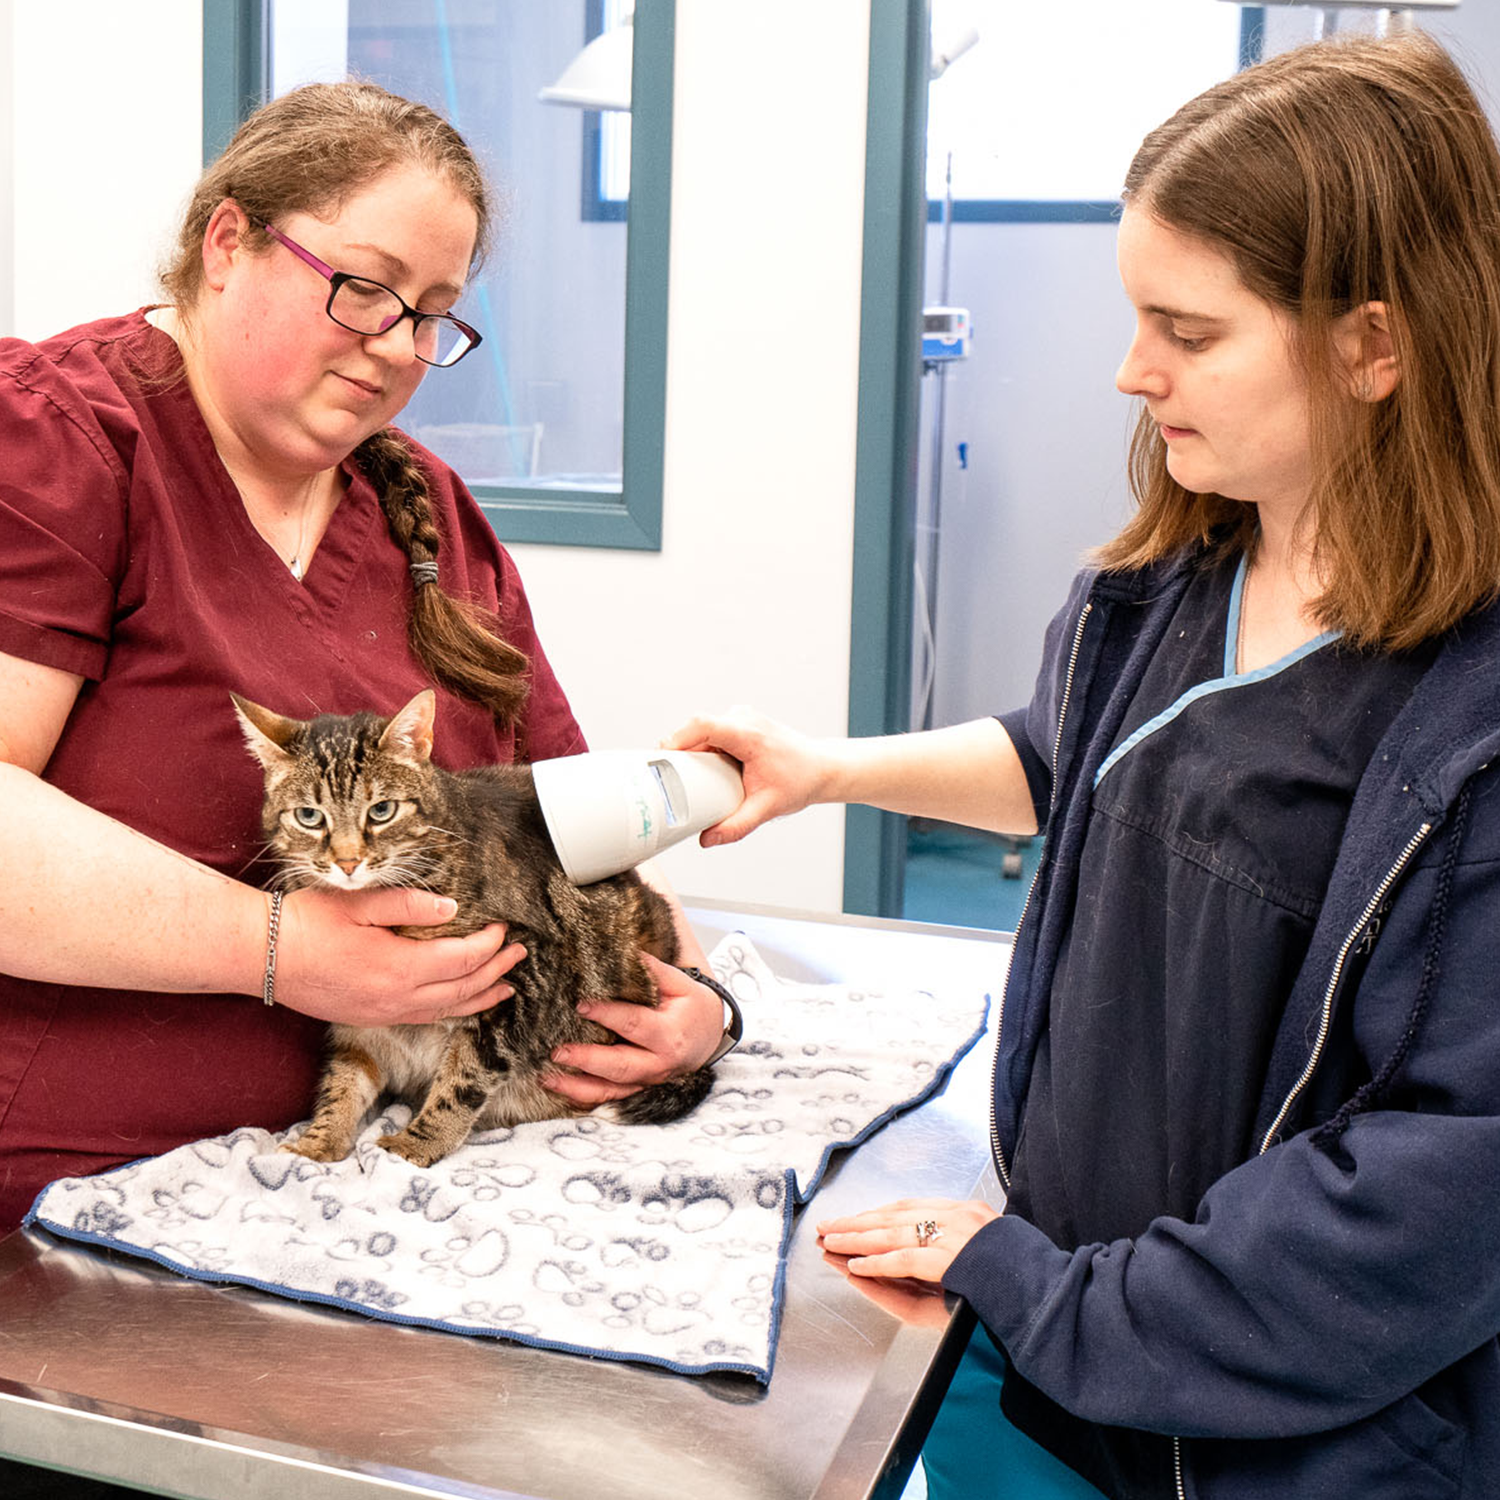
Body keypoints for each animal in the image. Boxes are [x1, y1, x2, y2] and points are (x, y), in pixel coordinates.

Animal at [231, 690, 711, 1170]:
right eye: (309, 816)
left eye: (381, 811)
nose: (347, 862)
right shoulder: (356, 1024)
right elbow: (343, 1082)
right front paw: (319, 1142)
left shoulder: (520, 975)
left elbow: (464, 1080)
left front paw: (417, 1144)